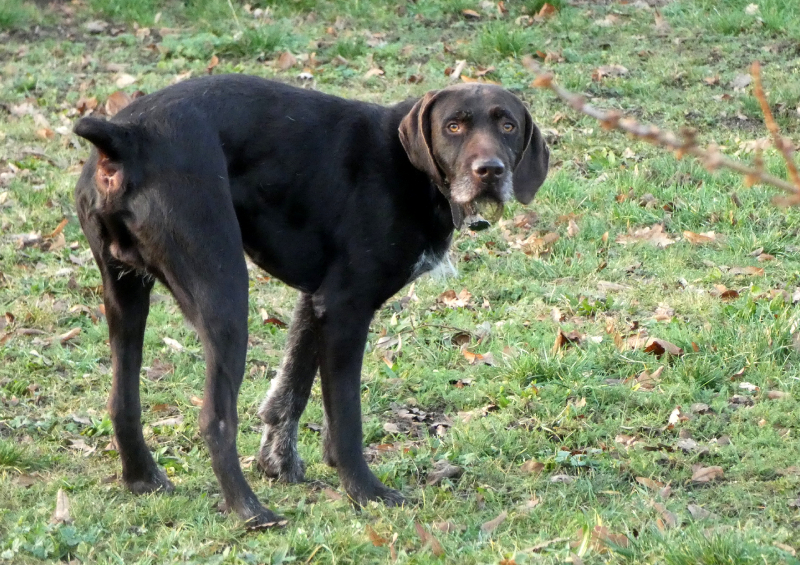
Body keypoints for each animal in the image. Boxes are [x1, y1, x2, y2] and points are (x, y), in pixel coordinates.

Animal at [73, 74, 549, 527]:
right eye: (454, 126)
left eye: (507, 125)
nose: (490, 170)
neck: (409, 169)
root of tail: (127, 135)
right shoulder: (344, 308)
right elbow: (344, 417)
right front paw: (364, 490)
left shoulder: (315, 300)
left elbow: (291, 390)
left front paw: (278, 461)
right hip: (225, 297)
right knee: (215, 418)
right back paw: (249, 510)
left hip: (126, 294)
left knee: (122, 401)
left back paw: (142, 479)